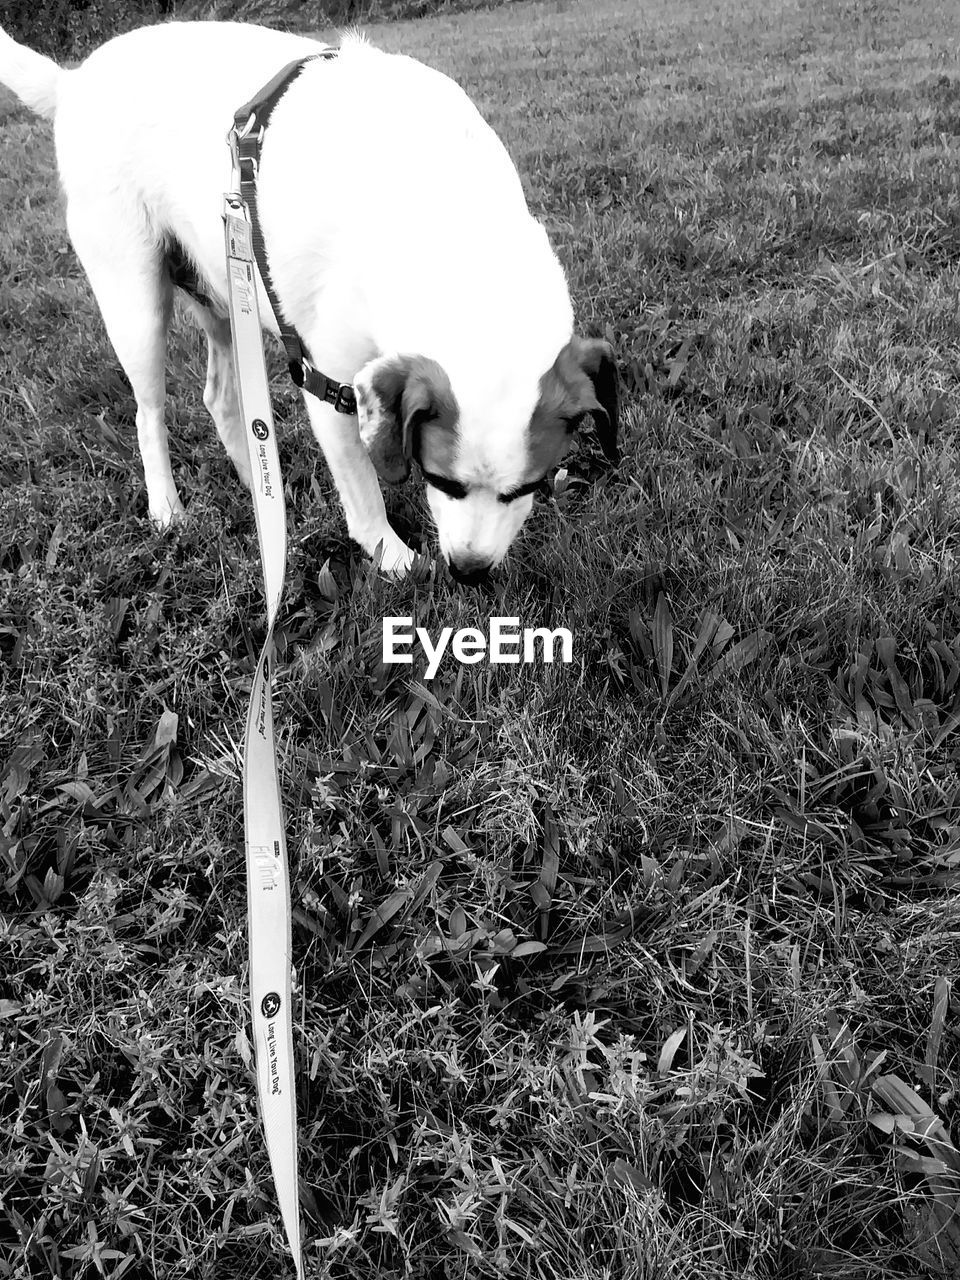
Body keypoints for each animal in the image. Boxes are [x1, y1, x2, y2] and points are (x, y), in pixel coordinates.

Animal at [0, 22, 616, 583]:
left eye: (530, 487)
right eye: (441, 480)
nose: (470, 572)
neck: (456, 223)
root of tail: (72, 82)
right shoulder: (332, 387)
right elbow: (364, 494)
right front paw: (393, 558)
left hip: (227, 292)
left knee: (220, 395)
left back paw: (256, 484)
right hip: (134, 301)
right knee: (147, 413)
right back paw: (167, 509)